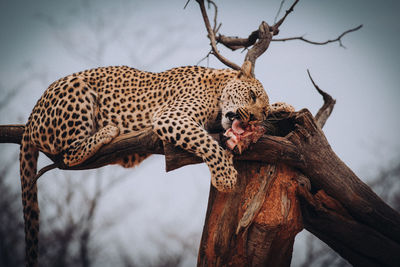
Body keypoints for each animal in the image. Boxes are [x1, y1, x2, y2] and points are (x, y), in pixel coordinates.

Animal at [18, 61, 294, 266]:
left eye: (261, 109)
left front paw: (283, 107)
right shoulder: (171, 116)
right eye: (251, 95)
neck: (219, 85)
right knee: (68, 153)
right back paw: (108, 130)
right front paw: (225, 175)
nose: (252, 119)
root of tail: (31, 115)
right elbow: (205, 142)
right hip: (76, 91)